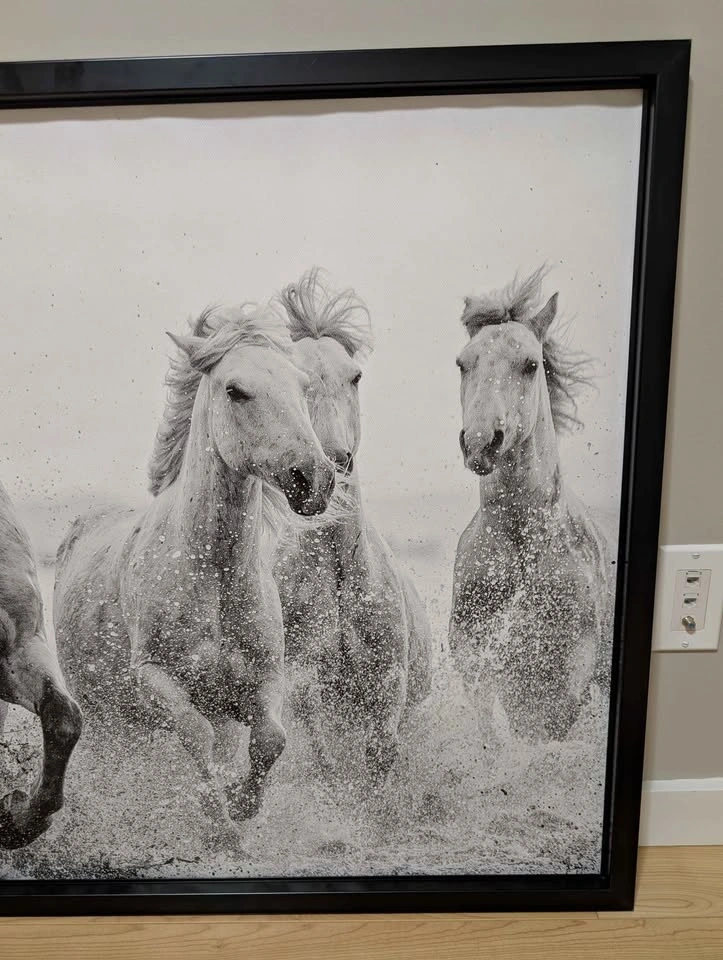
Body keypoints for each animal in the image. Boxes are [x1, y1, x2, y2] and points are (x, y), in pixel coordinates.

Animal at [54, 303, 336, 852]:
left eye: (300, 384)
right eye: (236, 390)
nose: (314, 479)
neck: (213, 575)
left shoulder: (258, 682)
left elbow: (272, 740)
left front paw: (242, 804)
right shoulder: (154, 679)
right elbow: (193, 732)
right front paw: (220, 824)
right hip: (104, 715)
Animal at [272, 270, 433, 780]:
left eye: (355, 376)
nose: (335, 461)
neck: (341, 577)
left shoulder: (388, 678)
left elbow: (380, 751)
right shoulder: (303, 681)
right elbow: (319, 749)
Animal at [449, 269, 613, 742]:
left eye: (531, 364)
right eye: (463, 363)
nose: (481, 442)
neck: (522, 540)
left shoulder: (571, 667)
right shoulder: (471, 645)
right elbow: (487, 710)